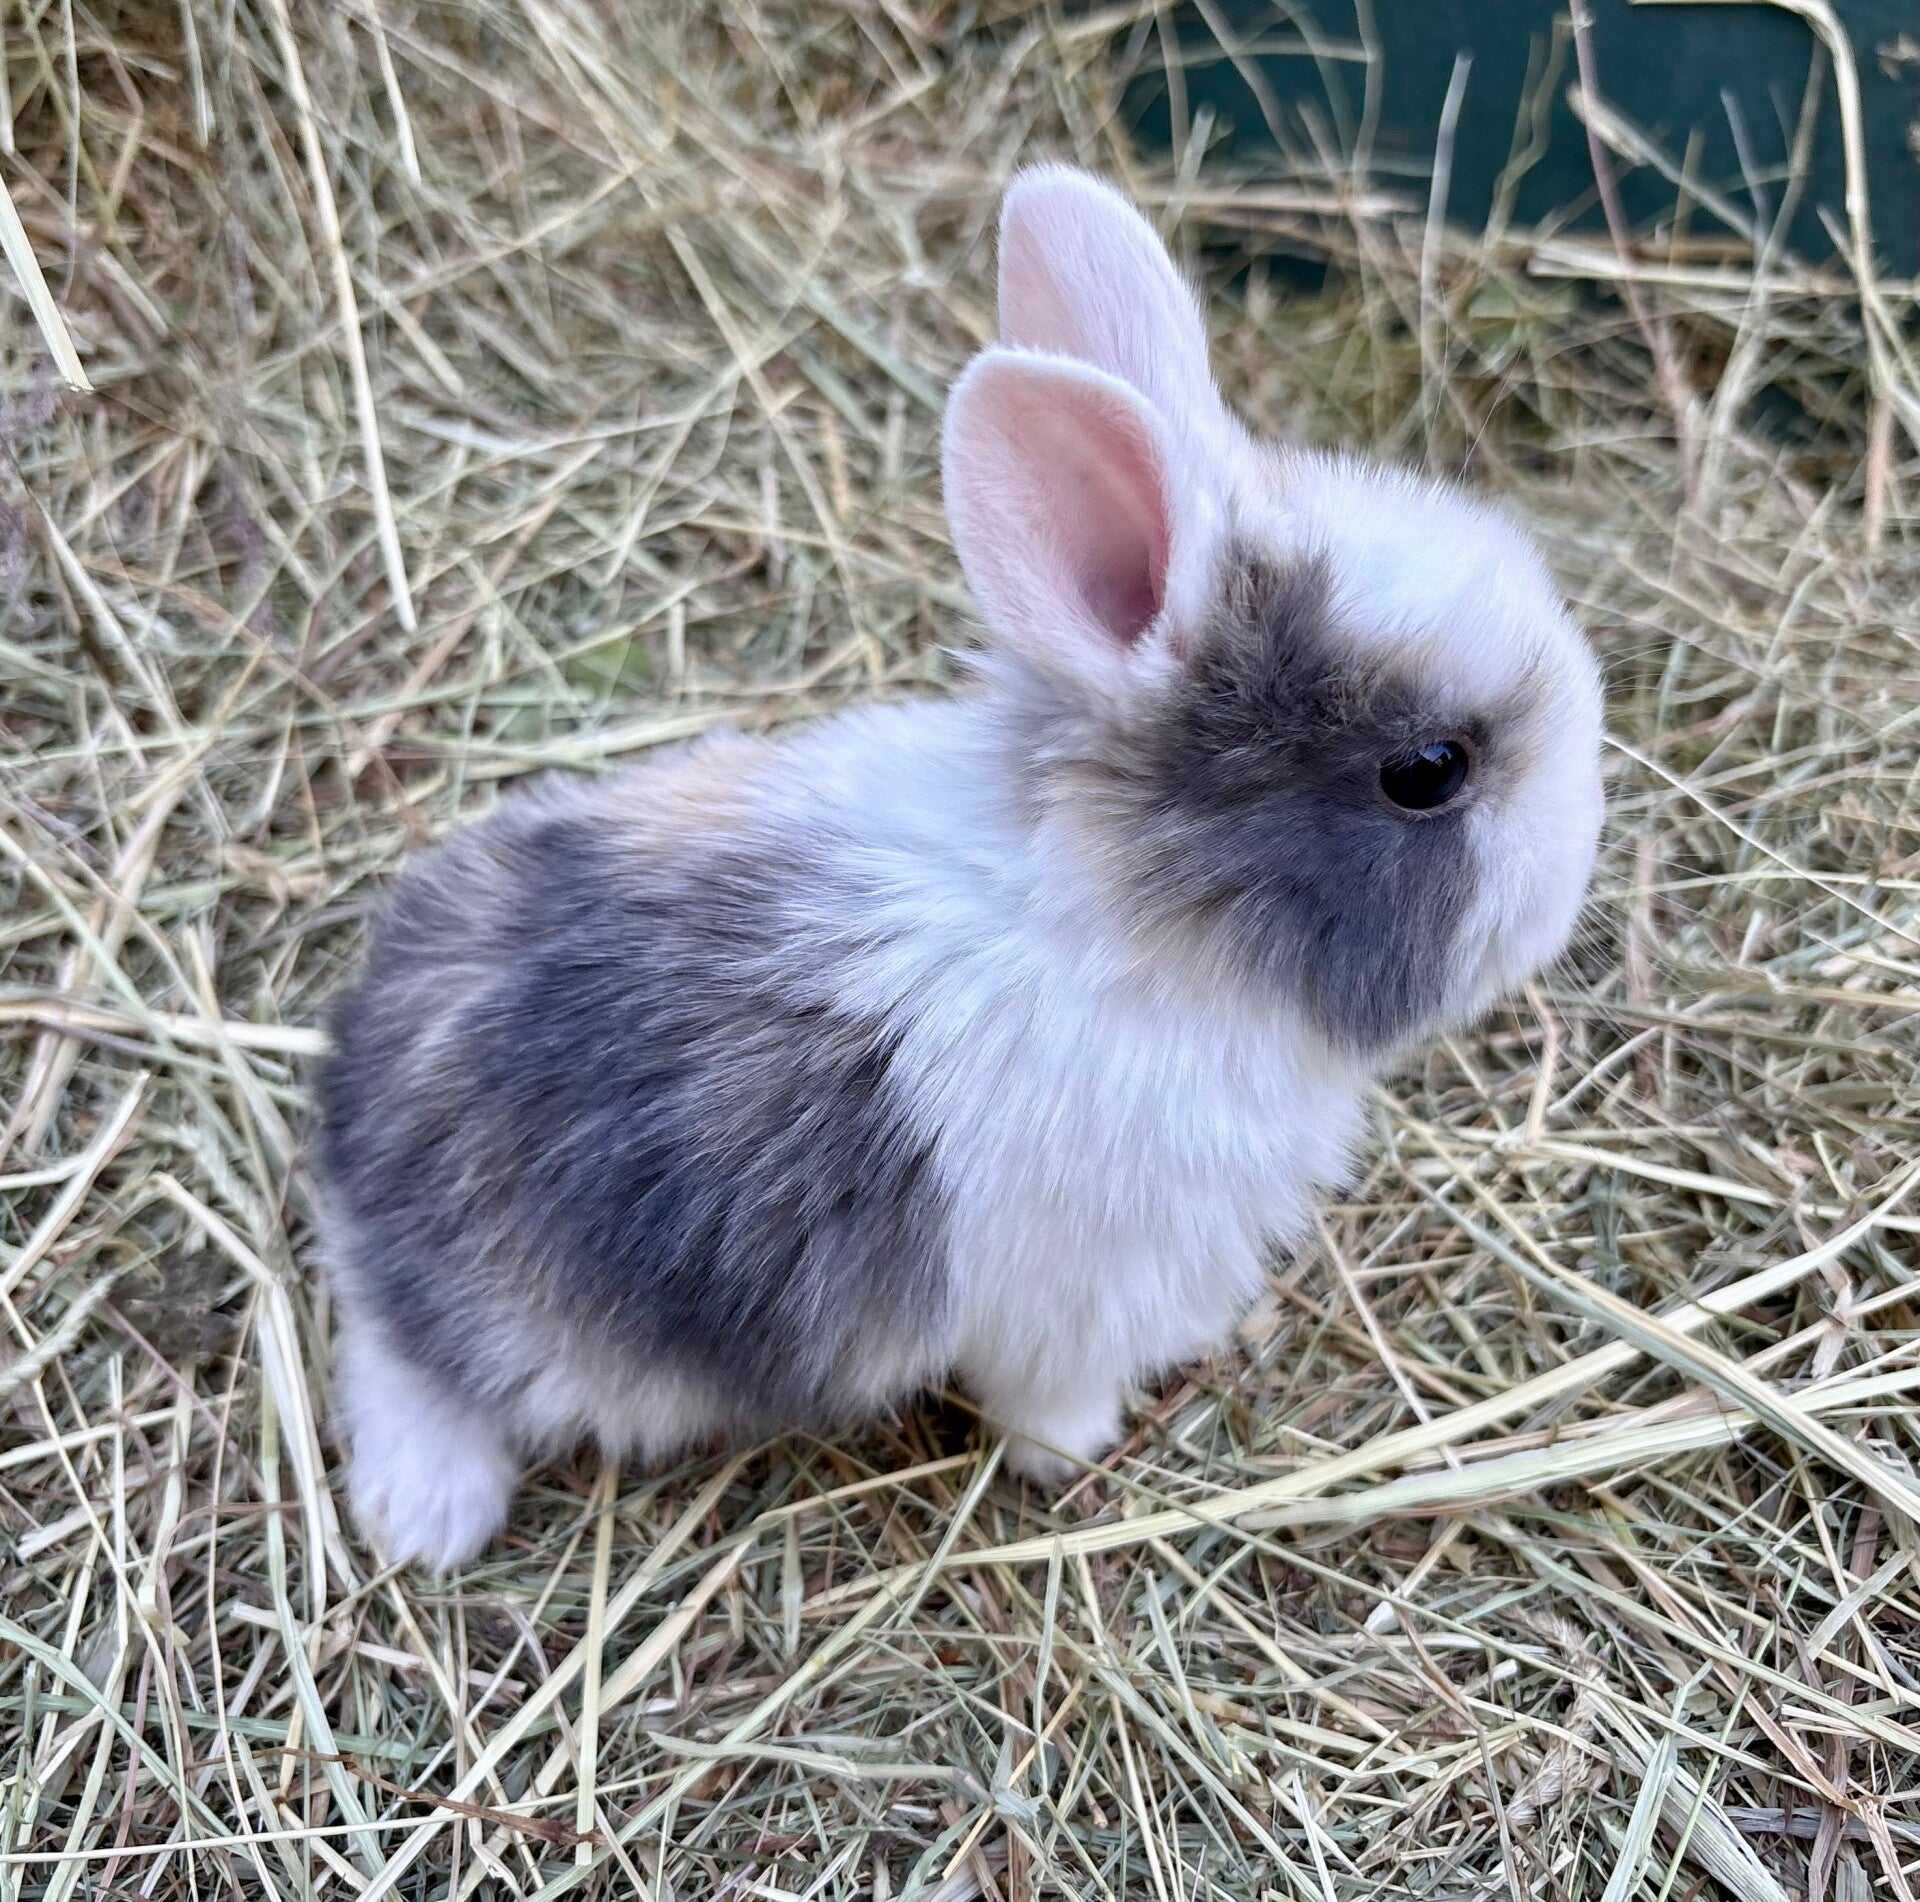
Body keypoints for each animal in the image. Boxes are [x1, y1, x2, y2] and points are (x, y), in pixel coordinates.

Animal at [316, 165, 1604, 1572]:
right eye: (1428, 771)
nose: (1583, 852)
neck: (1146, 934)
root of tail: (349, 1090)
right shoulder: (1078, 1304)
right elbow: (1049, 1401)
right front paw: (1076, 1461)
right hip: (521, 1324)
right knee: (395, 1353)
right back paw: (425, 1518)